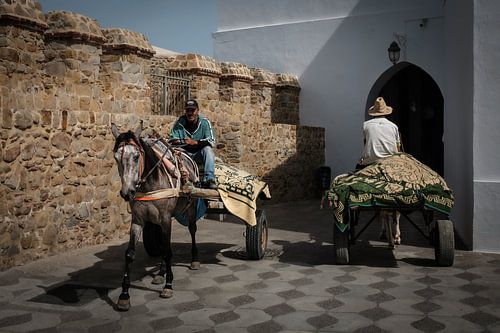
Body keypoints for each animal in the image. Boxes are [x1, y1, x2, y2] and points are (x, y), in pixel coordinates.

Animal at [112, 122, 200, 312]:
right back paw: (160, 273)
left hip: (191, 205)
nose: (127, 193)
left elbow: (168, 251)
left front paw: (168, 285)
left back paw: (194, 260)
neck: (148, 185)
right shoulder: (137, 220)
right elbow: (129, 254)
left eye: (136, 156)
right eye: (116, 158)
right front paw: (124, 295)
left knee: (192, 230)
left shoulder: (166, 218)